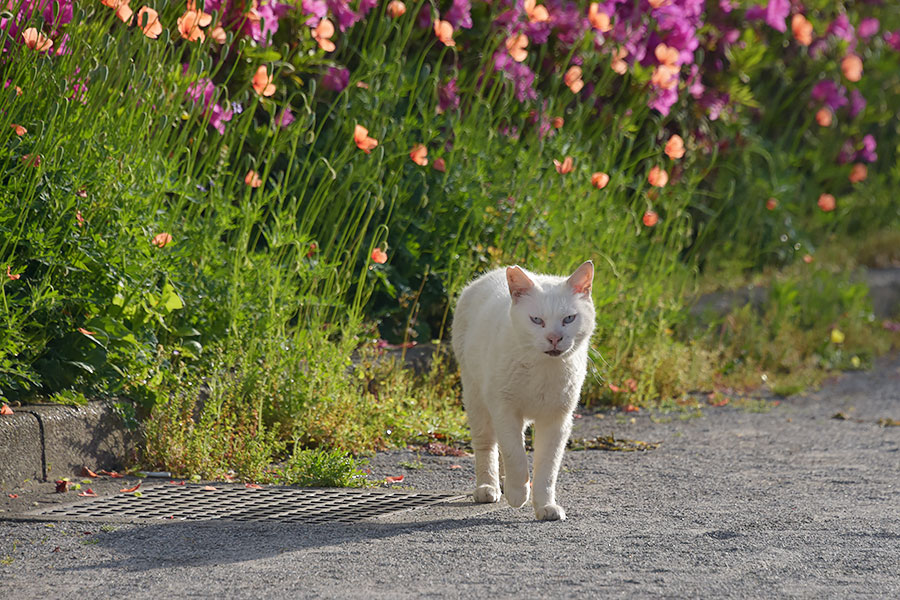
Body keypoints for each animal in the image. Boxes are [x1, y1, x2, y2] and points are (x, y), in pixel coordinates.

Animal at [454, 262, 596, 520]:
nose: (554, 338)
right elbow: (516, 455)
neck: (543, 368)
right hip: (475, 396)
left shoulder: (557, 420)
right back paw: (488, 487)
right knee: (486, 444)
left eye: (569, 319)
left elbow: (547, 469)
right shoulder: (504, 409)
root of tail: (493, 272)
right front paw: (518, 494)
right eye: (537, 320)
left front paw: (545, 506)